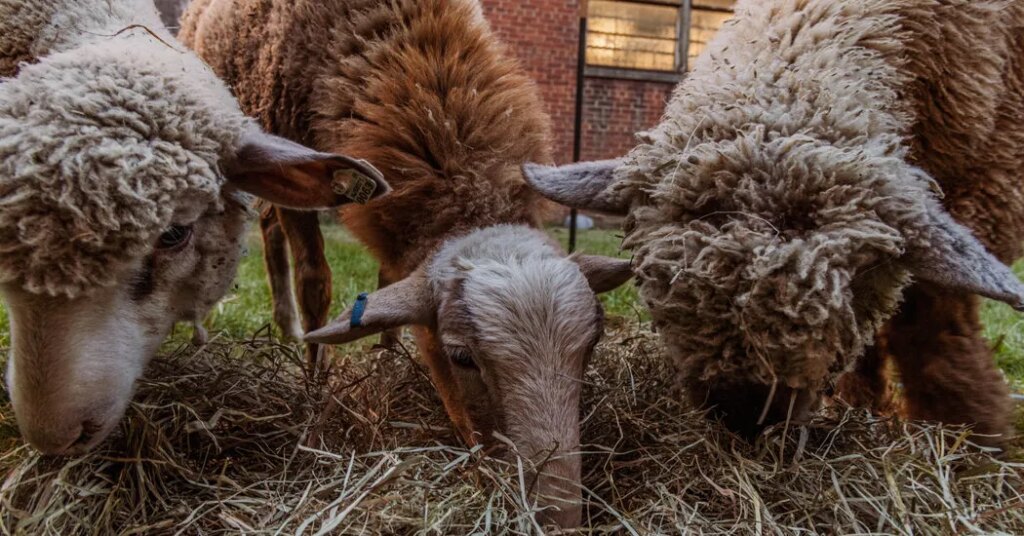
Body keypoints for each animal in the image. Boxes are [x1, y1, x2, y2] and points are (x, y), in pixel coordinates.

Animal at [180, 0, 632, 527]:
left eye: (593, 343)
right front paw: (316, 386)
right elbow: (316, 282)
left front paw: (387, 358)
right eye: (460, 357)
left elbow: (387, 277)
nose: (555, 519)